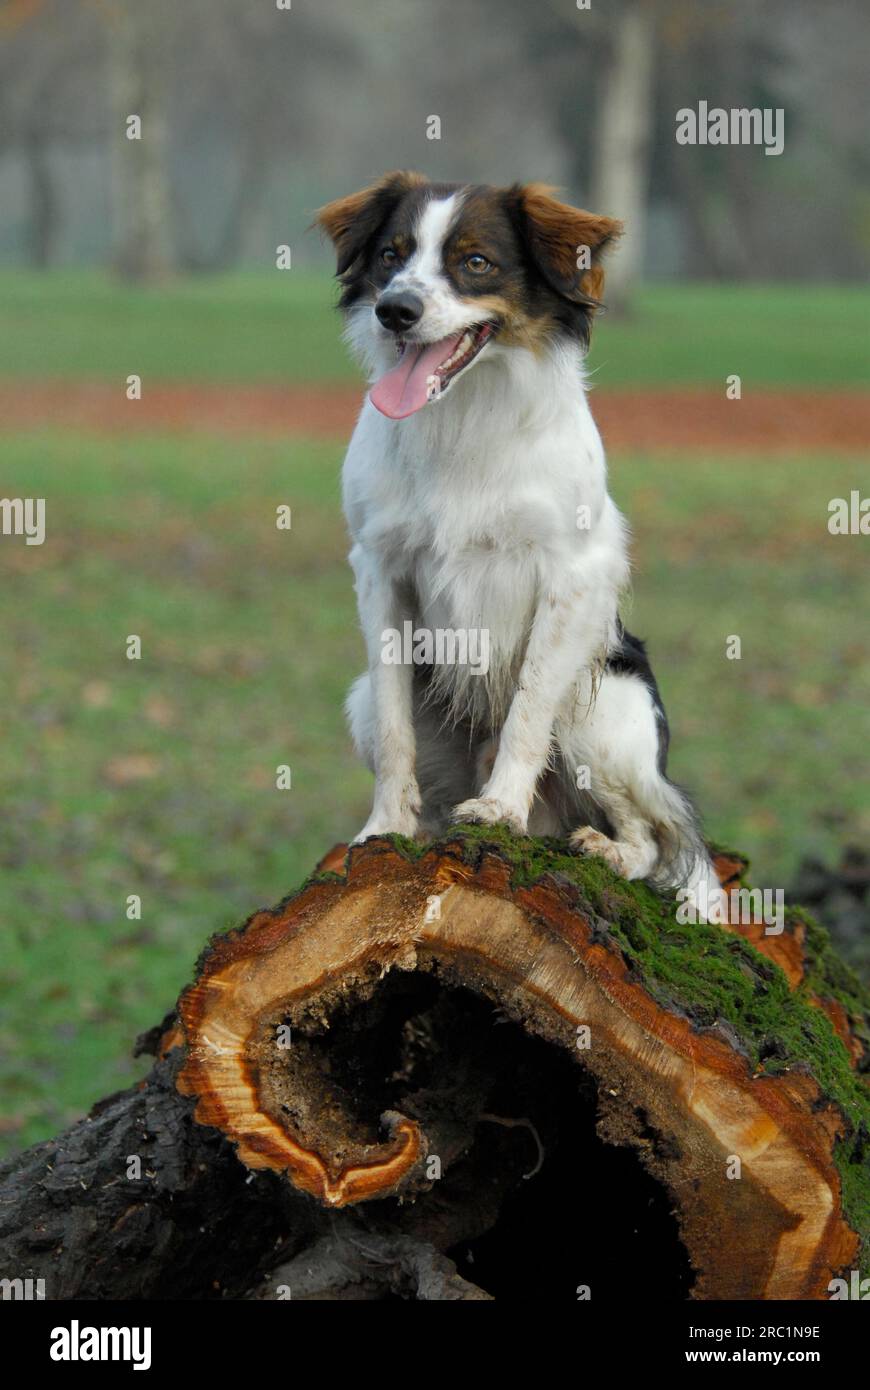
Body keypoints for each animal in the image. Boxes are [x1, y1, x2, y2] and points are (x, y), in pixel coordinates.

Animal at [315, 170, 722, 911]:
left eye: (476, 262)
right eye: (390, 255)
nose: (395, 310)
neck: (464, 414)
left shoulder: (572, 578)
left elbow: (527, 710)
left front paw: (500, 808)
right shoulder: (380, 570)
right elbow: (394, 728)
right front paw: (382, 830)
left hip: (603, 712)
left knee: (651, 838)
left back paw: (601, 848)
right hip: (365, 703)